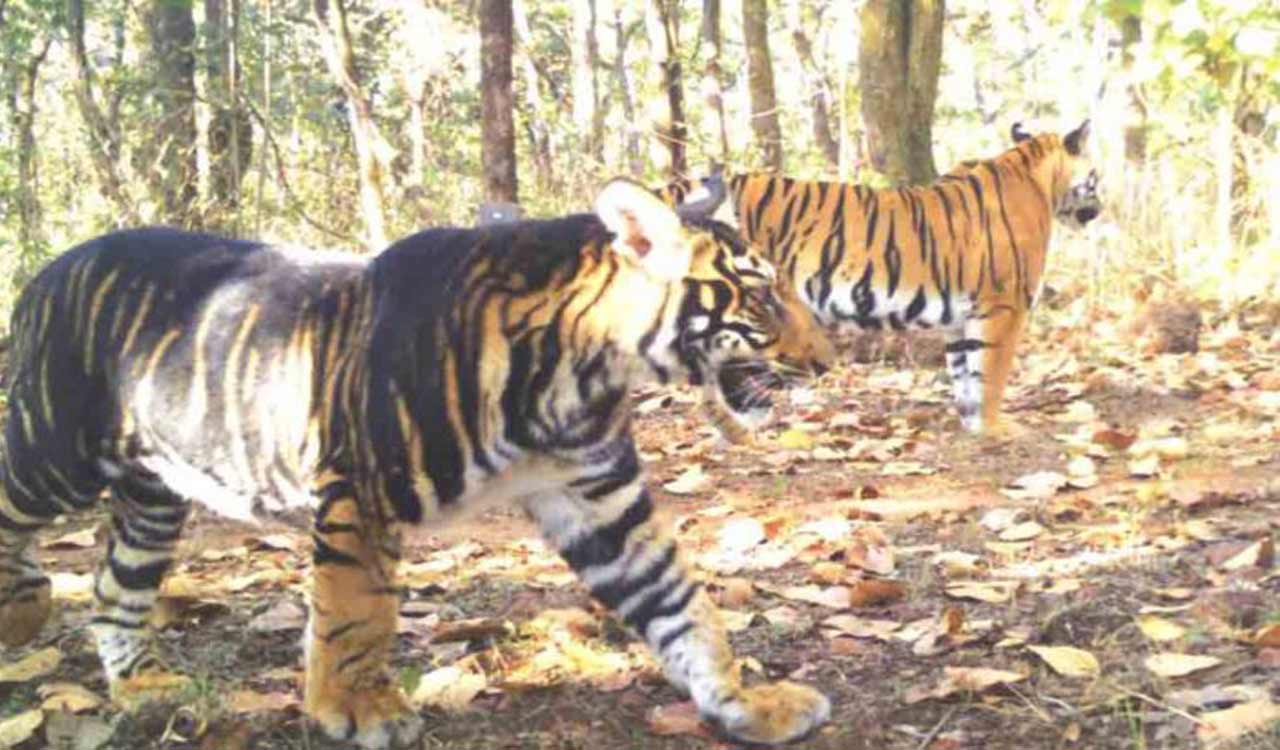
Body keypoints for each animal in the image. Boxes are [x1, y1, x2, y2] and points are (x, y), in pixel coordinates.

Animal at [0, 180, 834, 747]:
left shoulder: (597, 493)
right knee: (16, 511)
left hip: (154, 493)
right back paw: (23, 607)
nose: (828, 360)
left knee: (116, 587)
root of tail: (49, 269)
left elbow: (681, 601)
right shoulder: (360, 487)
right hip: (53, 451)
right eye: (760, 297)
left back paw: (144, 686)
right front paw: (357, 708)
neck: (584, 374)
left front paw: (747, 703)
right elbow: (356, 608)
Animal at [673, 121, 1102, 436]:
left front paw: (972, 423)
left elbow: (964, 371)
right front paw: (996, 428)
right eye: (1096, 175)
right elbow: (991, 373)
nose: (1101, 206)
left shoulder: (961, 315)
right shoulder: (1004, 306)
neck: (1038, 178)